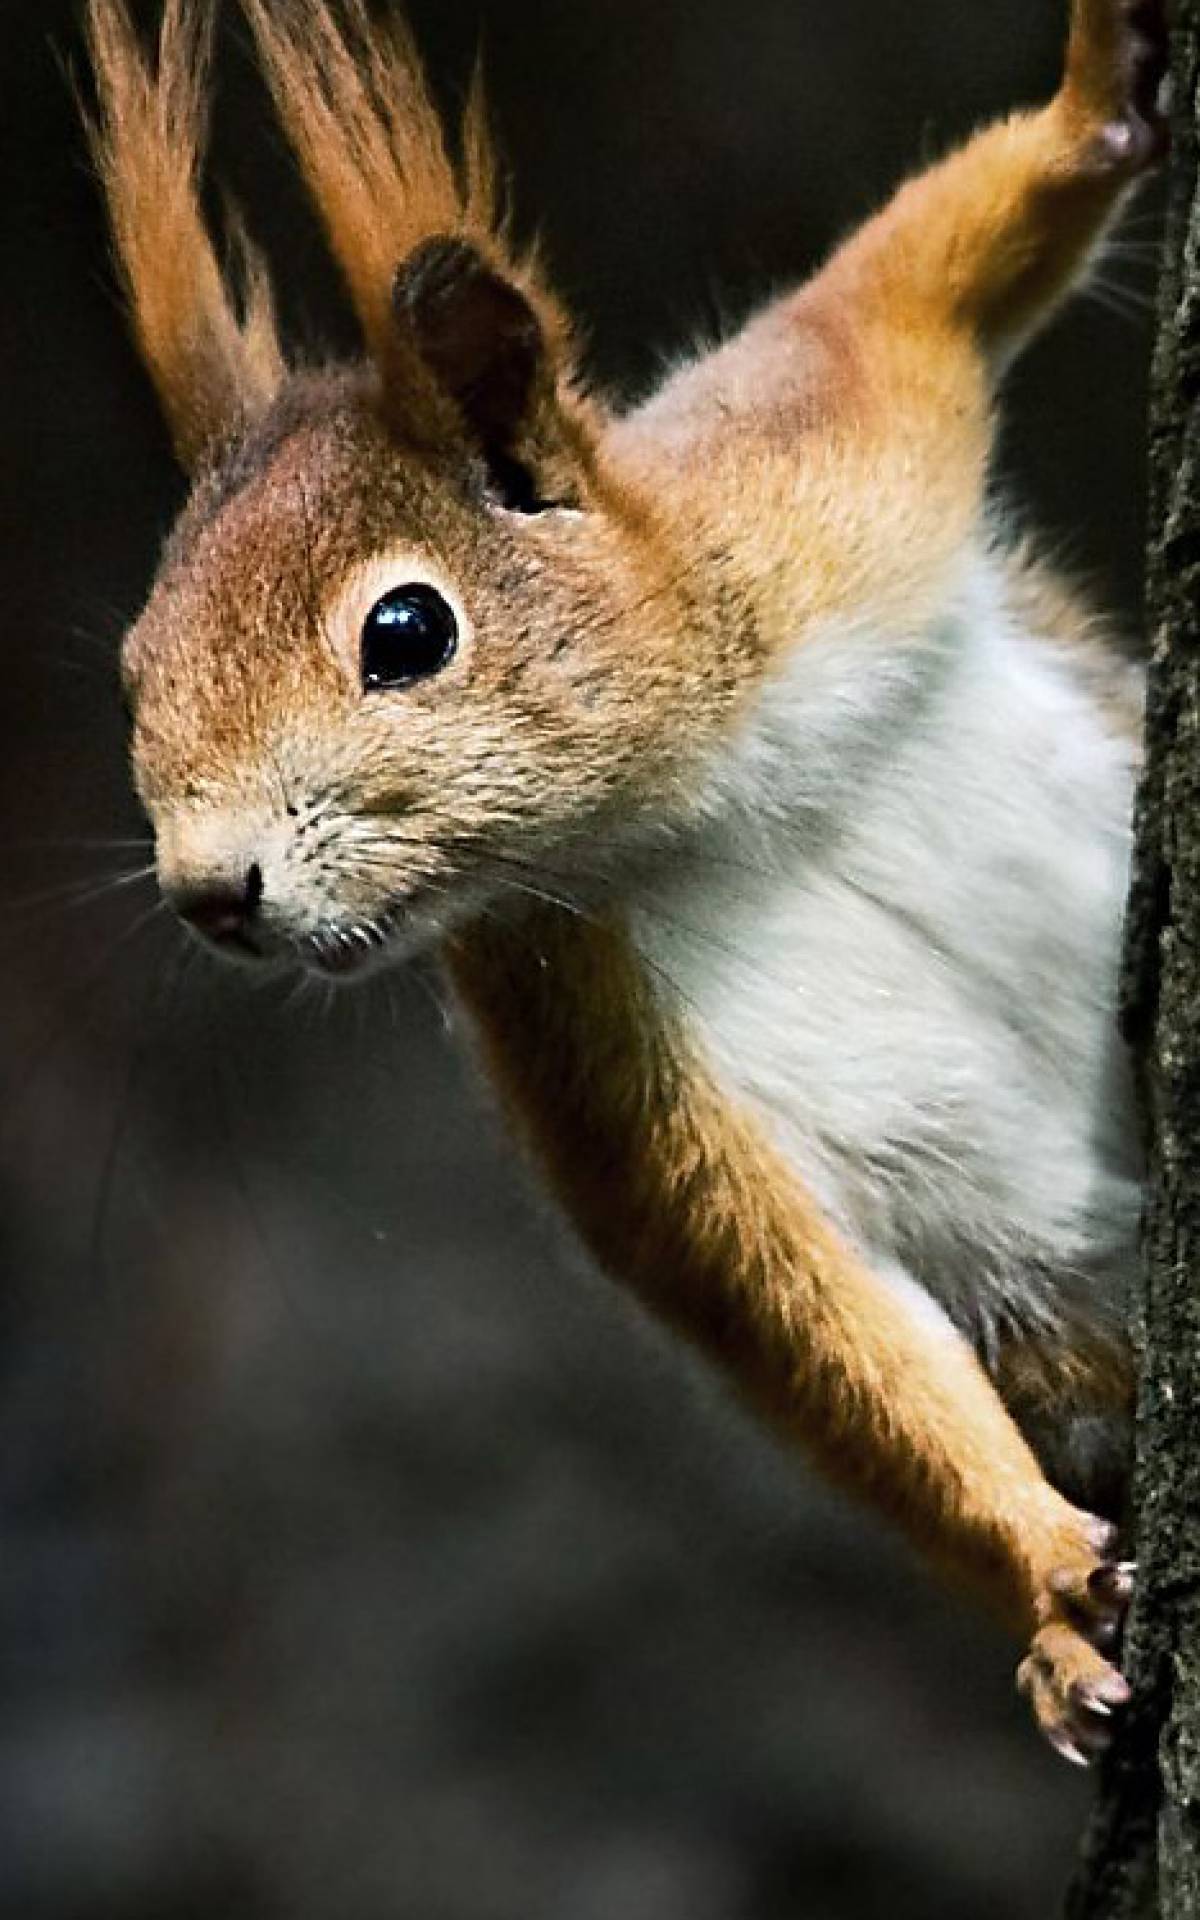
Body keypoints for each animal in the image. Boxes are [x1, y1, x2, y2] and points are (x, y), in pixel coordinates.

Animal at [88, 0, 1167, 1766]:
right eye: (133, 669)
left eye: (406, 630)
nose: (209, 890)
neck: (707, 796)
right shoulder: (589, 1040)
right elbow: (800, 1308)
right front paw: (1048, 1594)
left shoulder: (824, 467)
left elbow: (913, 275)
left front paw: (1102, 88)